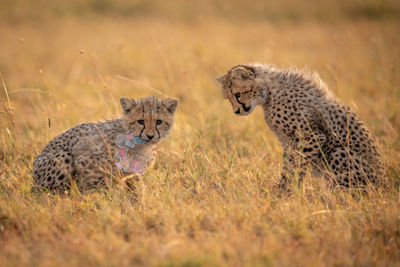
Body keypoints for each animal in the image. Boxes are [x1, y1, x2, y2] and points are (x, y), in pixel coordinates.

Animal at [33, 96, 177, 193]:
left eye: (159, 122)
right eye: (140, 121)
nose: (150, 136)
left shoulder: (133, 174)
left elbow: (136, 190)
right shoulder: (86, 160)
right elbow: (103, 187)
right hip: (63, 157)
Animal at [219, 64, 384, 188]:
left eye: (237, 95)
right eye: (229, 98)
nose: (236, 111)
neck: (268, 92)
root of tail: (383, 184)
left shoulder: (312, 137)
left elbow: (297, 167)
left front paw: (287, 192)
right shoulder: (289, 143)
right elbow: (288, 167)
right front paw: (282, 190)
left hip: (340, 151)